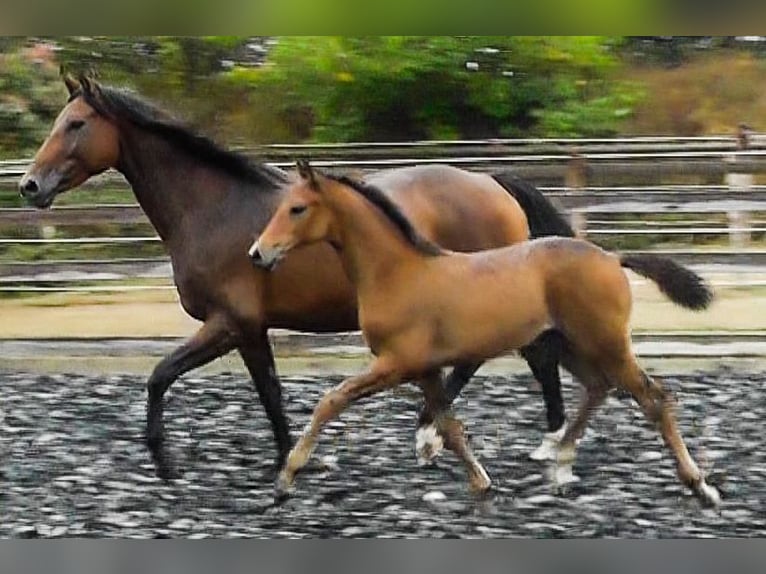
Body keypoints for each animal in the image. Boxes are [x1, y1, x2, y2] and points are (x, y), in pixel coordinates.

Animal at [18, 74, 572, 480]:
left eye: (75, 124)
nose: (29, 185)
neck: (212, 209)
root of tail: (492, 182)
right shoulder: (249, 330)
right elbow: (269, 391)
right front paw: (289, 460)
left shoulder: (230, 322)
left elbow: (162, 376)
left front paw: (165, 463)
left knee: (522, 358)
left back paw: (472, 439)